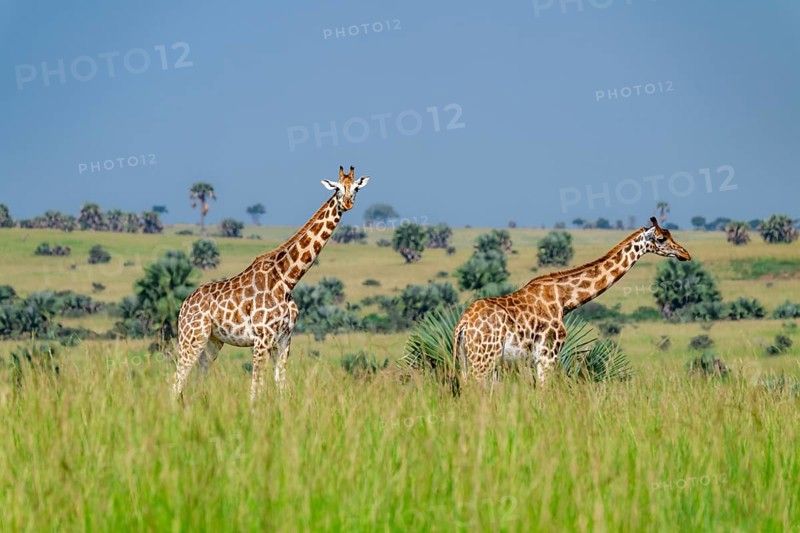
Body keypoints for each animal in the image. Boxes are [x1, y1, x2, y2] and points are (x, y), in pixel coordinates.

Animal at [173, 166, 370, 403]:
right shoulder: (262, 339)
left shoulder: (284, 339)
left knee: (198, 375)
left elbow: (281, 385)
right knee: (176, 379)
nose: (348, 203)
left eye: (357, 188)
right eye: (338, 188)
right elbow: (256, 388)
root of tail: (184, 305)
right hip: (192, 337)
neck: (287, 280)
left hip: (212, 341)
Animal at [454, 217, 691, 384]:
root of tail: (463, 325)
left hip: (468, 358)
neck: (564, 299)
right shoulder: (548, 353)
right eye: (661, 238)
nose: (685, 254)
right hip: (484, 357)